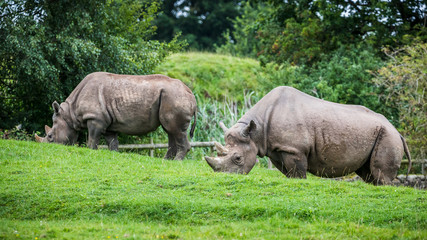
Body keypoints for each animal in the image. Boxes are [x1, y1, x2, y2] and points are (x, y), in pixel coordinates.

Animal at [36, 72, 198, 160]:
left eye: (50, 136)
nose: (47, 146)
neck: (70, 114)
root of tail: (192, 95)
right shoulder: (108, 124)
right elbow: (112, 143)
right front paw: (115, 155)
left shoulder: (95, 119)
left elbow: (92, 141)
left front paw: (92, 152)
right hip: (172, 97)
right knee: (170, 130)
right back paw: (166, 161)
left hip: (175, 97)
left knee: (176, 130)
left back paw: (176, 161)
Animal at [206, 86, 412, 186]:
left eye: (238, 158)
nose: (223, 178)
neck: (255, 131)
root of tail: (398, 132)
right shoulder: (278, 148)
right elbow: (289, 173)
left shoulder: (294, 149)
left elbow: (298, 173)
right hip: (380, 133)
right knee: (368, 173)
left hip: (388, 136)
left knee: (380, 175)